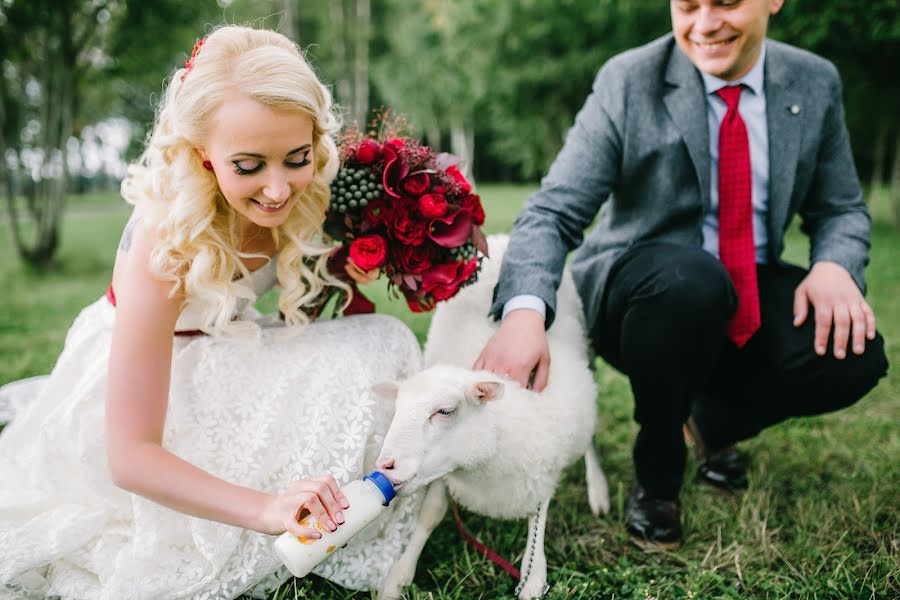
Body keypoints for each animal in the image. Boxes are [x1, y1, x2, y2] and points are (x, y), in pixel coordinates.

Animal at [372, 234, 612, 600]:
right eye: (396, 410)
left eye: (445, 411)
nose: (385, 465)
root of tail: (502, 239)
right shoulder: (445, 473)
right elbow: (430, 514)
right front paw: (399, 575)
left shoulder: (545, 459)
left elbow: (538, 514)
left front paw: (533, 575)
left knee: (591, 434)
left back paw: (598, 490)